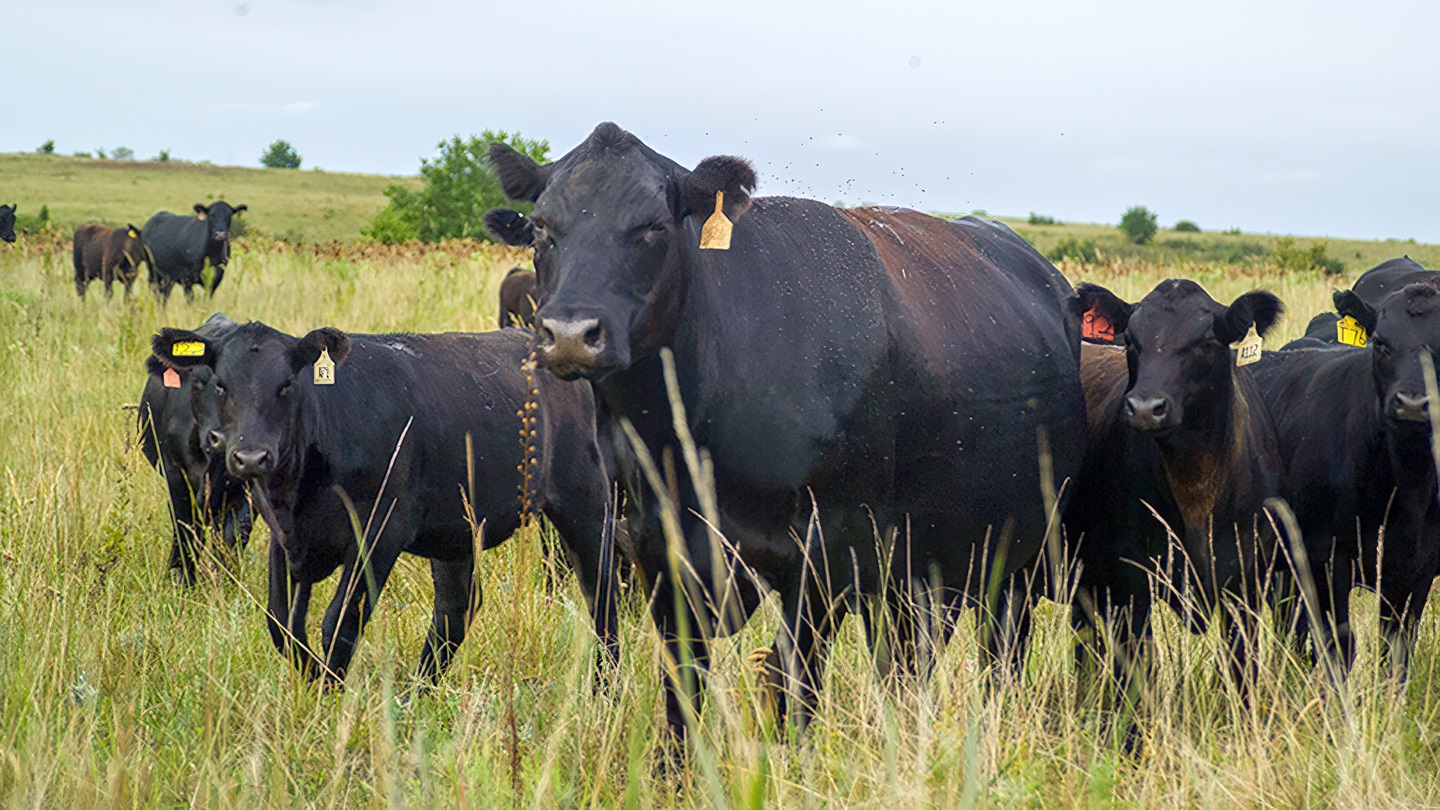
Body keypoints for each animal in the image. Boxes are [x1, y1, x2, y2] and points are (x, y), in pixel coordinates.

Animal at [139, 313, 252, 584]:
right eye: (199, 381)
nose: (221, 437)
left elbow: (234, 535)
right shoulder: (174, 471)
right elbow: (185, 526)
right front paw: (182, 580)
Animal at [149, 322, 617, 688]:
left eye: (285, 384)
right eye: (220, 385)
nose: (249, 457)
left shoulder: (379, 532)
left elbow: (338, 623)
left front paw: (327, 695)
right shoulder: (285, 539)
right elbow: (283, 623)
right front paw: (311, 680)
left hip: (584, 498)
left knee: (601, 592)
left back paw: (605, 690)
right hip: (456, 530)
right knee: (455, 609)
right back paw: (415, 696)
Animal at [484, 122, 1088, 740]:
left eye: (651, 225)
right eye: (541, 227)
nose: (570, 333)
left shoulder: (825, 554)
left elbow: (794, 695)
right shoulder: (658, 551)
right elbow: (681, 706)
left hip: (1014, 554)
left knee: (999, 654)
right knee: (906, 660)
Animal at [1062, 281, 1288, 702]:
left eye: (1206, 340)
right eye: (1130, 339)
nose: (1145, 407)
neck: (1196, 490)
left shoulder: (1244, 586)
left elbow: (1242, 673)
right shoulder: (1129, 583)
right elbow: (1138, 679)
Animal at [1251, 277, 1440, 679]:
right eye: (1380, 342)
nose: (1412, 403)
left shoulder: (1417, 571)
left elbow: (1397, 653)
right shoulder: (1325, 558)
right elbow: (1337, 647)